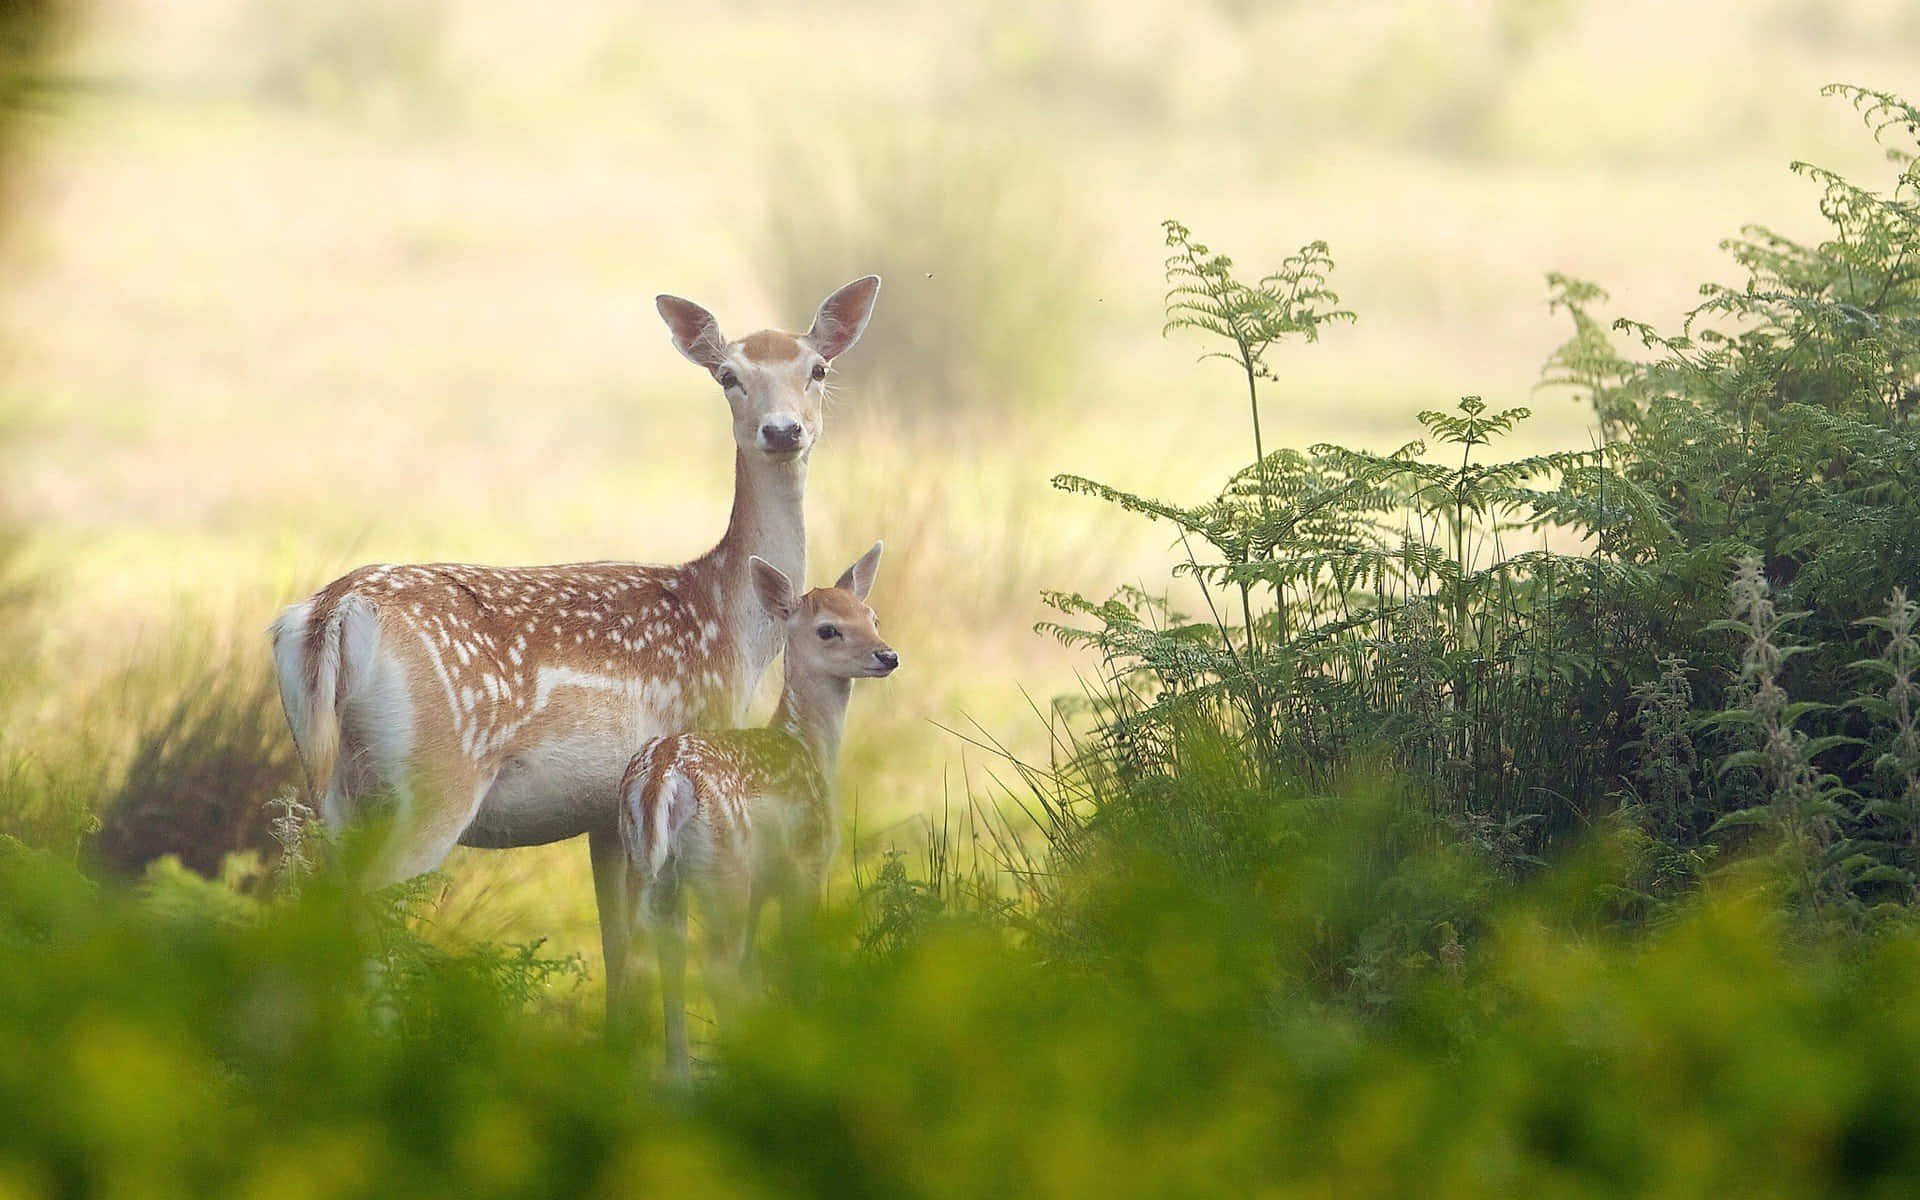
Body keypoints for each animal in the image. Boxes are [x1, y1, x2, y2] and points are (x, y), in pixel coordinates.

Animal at [267, 276, 881, 1021]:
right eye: (728, 375)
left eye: (816, 369)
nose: (783, 430)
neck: (729, 625)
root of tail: (334, 612)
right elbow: (645, 957)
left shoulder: (604, 815)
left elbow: (619, 956)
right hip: (435, 777)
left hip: (331, 784)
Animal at [619, 543, 894, 1080]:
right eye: (828, 629)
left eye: (872, 616)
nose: (887, 655)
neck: (806, 747)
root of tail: (661, 777)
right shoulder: (807, 861)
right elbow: (796, 954)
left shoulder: (763, 883)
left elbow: (754, 962)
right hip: (723, 865)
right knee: (717, 965)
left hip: (648, 868)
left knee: (652, 957)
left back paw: (674, 1070)